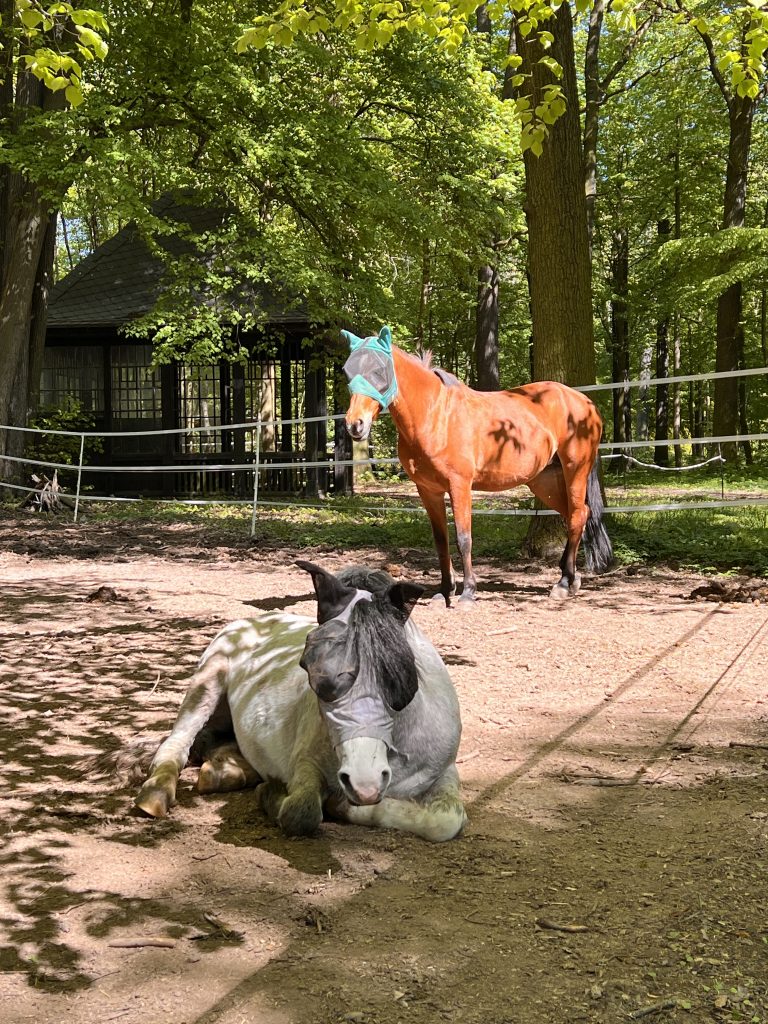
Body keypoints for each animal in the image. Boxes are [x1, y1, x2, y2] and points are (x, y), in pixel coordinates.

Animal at [134, 561, 467, 842]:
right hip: (206, 683)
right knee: (177, 743)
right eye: (309, 667)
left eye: (399, 674)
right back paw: (157, 793)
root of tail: (254, 621)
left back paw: (225, 772)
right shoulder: (306, 765)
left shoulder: (444, 771)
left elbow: (445, 823)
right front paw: (291, 797)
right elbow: (301, 813)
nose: (364, 782)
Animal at [343, 325, 613, 606]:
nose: (355, 425)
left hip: (575, 470)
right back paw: (571, 578)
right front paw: (445, 591)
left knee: (577, 516)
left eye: (379, 370)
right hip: (545, 481)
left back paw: (563, 583)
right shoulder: (428, 490)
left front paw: (468, 592)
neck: (435, 417)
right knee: (577, 514)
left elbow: (464, 538)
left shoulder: (459, 485)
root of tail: (585, 403)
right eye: (347, 371)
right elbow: (441, 540)